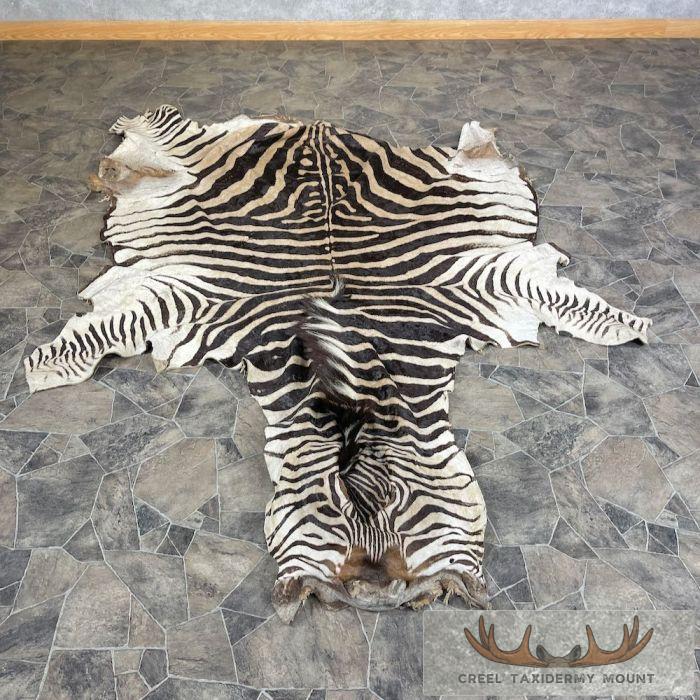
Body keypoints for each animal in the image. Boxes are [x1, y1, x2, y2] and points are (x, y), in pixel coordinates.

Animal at [24, 106, 650, 621]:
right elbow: (104, 330)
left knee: (478, 155)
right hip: (189, 151)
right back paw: (121, 148)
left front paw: (634, 326)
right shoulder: (197, 297)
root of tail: (313, 125)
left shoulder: (482, 281)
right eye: (335, 508)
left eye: (394, 507)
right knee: (159, 130)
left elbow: (573, 303)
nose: (373, 596)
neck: (354, 336)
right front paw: (42, 367)